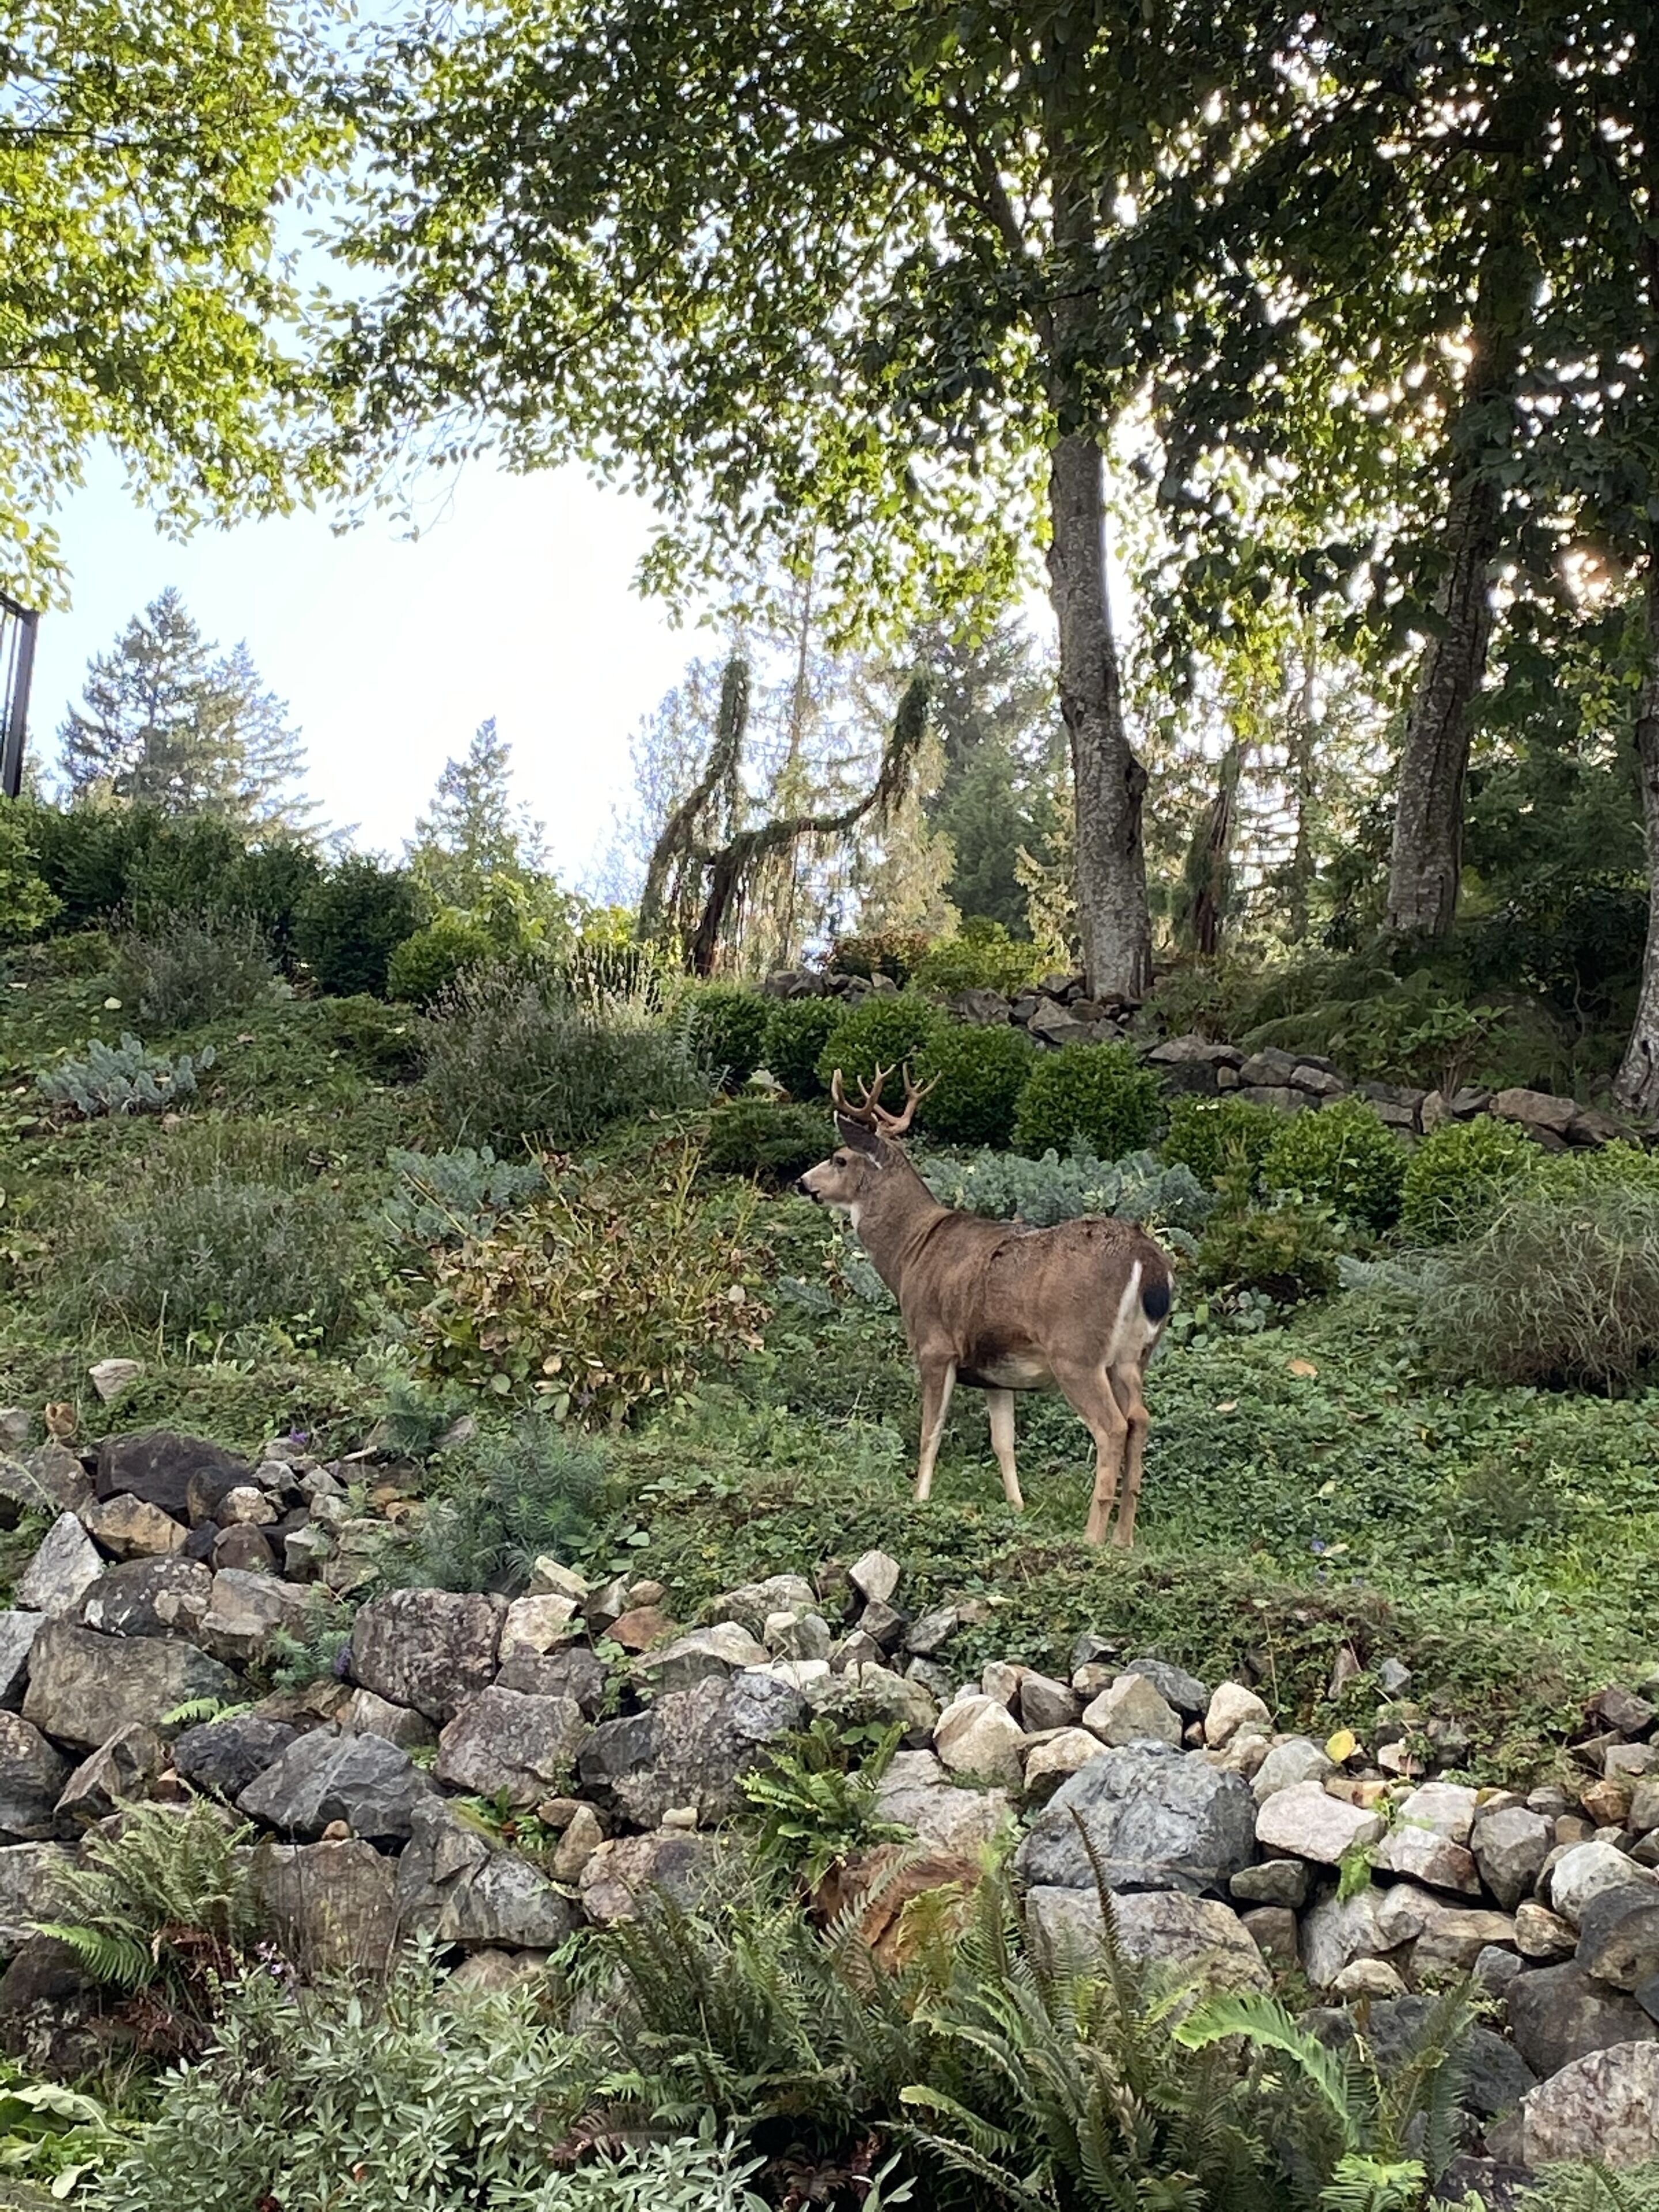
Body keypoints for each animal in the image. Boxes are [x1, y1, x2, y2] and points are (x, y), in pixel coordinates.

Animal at [796, 1063, 1174, 1547]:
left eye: (840, 1158)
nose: (803, 1182)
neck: (910, 1253)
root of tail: (1149, 1261)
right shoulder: (998, 1372)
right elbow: (1004, 1442)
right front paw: (1017, 1507)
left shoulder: (935, 1346)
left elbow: (930, 1431)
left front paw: (919, 1499)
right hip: (1132, 1357)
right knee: (1140, 1420)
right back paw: (1123, 1540)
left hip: (1077, 1352)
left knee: (1112, 1427)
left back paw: (1092, 1538)